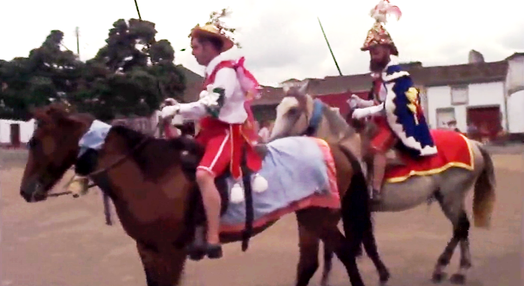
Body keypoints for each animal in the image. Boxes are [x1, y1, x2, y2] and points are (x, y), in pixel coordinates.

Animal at [18, 103, 374, 286]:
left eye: (34, 142)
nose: (26, 191)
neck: (150, 175)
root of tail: (332, 146)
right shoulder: (148, 250)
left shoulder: (170, 252)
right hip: (308, 215)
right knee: (309, 263)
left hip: (321, 217)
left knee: (343, 252)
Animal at [272, 81, 498, 284]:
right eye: (277, 109)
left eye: (292, 110)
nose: (272, 141)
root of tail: (473, 143)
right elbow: (351, 245)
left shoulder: (347, 210)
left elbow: (357, 244)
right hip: (446, 197)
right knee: (459, 229)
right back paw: (450, 269)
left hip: (452, 196)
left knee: (461, 227)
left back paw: (453, 269)